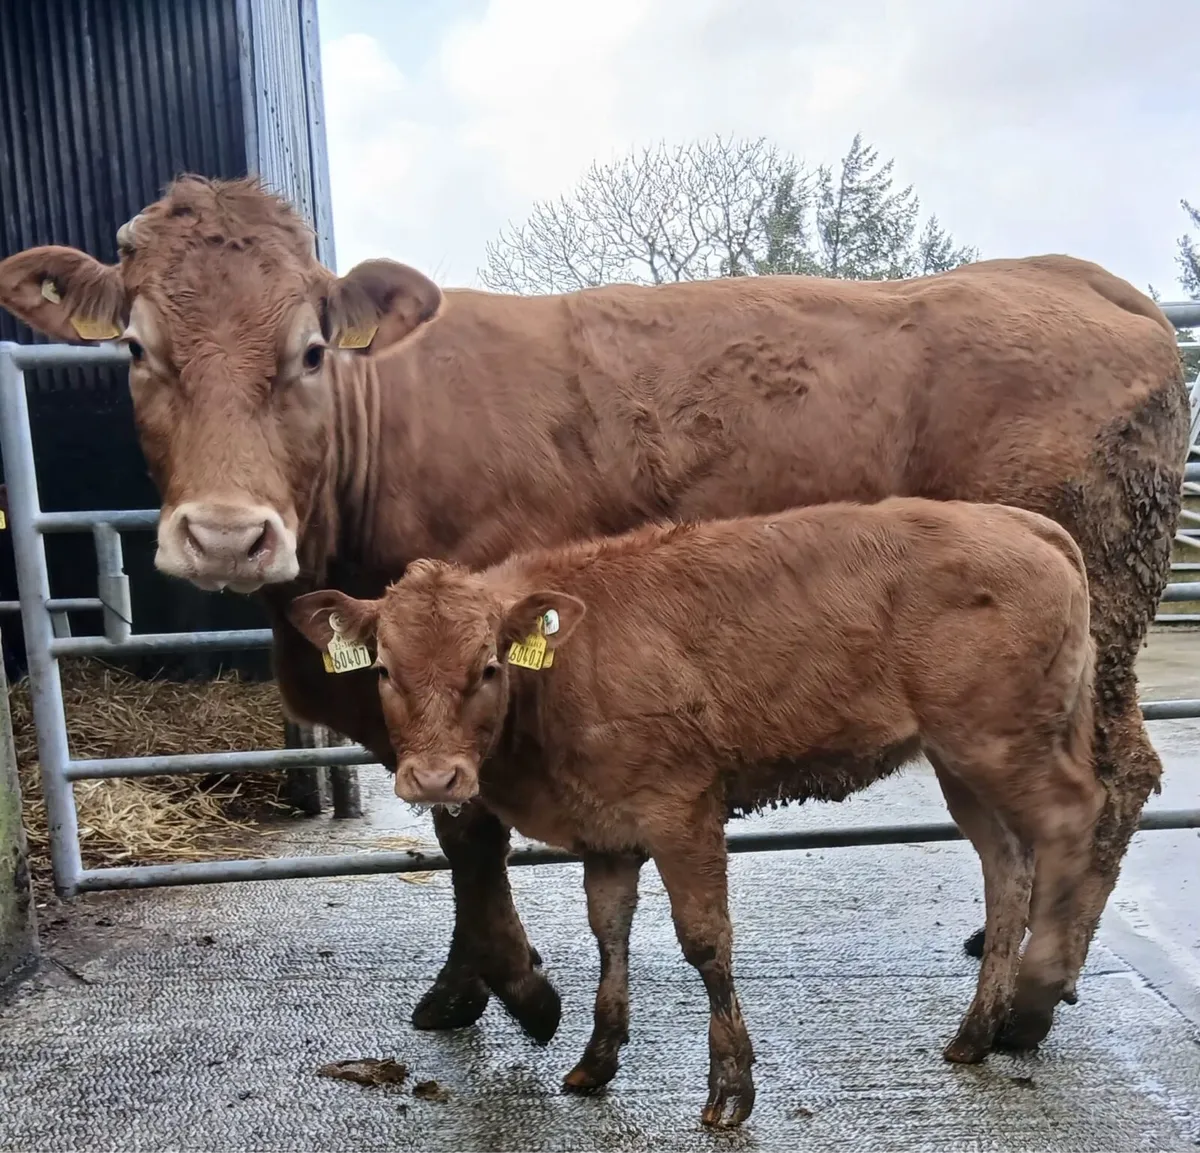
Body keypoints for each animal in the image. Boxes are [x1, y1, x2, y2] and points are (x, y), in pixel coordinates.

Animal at [0, 175, 1187, 1048]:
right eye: (137, 348)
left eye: (310, 350)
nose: (225, 533)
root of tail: (1083, 281)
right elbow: (458, 834)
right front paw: (468, 987)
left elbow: (472, 834)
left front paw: (515, 990)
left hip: (1092, 628)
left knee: (1118, 777)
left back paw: (1037, 990)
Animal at [285, 497, 1103, 1128]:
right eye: (384, 670)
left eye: (487, 666)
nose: (435, 777)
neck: (567, 671)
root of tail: (1020, 521)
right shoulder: (607, 830)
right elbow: (610, 930)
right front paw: (596, 1060)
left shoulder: (681, 806)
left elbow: (705, 941)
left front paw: (730, 1088)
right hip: (960, 761)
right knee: (1007, 865)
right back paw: (978, 1029)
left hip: (999, 740)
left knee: (1073, 819)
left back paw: (1032, 1006)